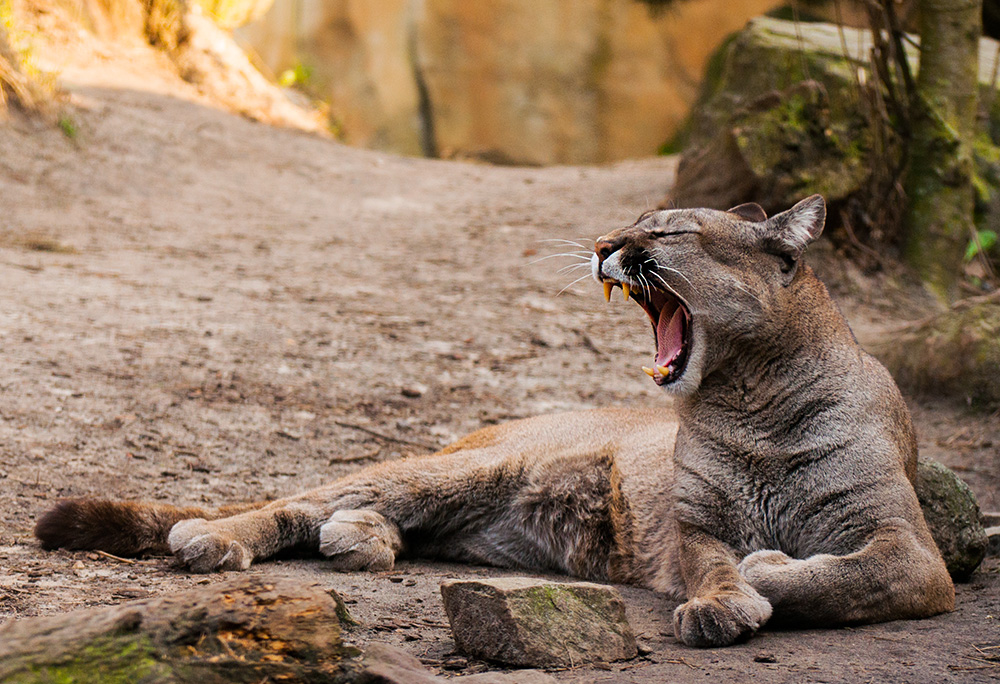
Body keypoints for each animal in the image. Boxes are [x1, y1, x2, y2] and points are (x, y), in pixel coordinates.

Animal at [33, 196, 952, 648]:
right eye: (633, 226)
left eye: (666, 232)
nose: (603, 244)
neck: (751, 394)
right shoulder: (696, 528)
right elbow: (718, 564)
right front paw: (728, 597)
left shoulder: (910, 548)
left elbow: (848, 578)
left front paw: (768, 573)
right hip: (461, 468)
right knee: (296, 499)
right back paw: (215, 537)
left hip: (472, 508)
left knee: (364, 517)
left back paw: (359, 538)